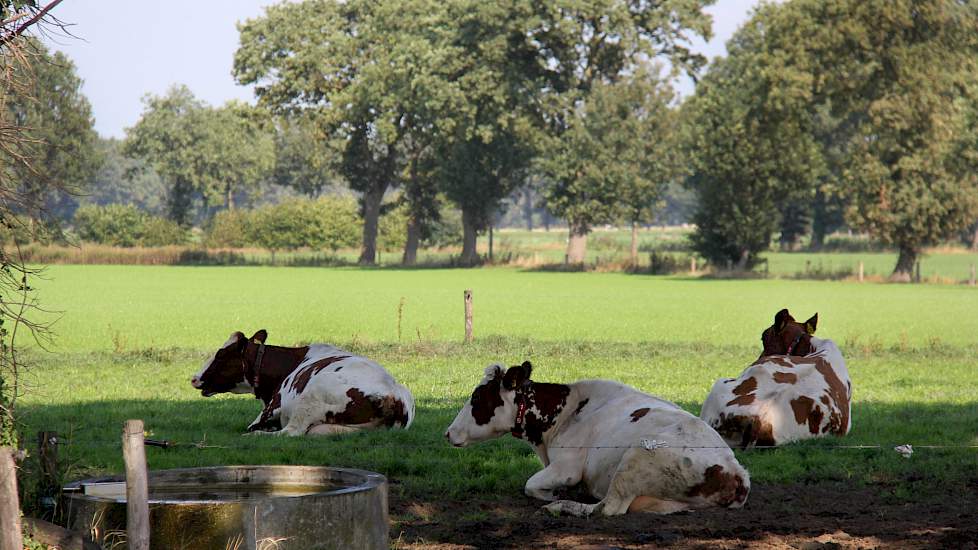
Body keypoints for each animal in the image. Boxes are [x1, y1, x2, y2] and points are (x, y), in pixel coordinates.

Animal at [192, 330, 416, 438]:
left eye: (221, 355)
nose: (194, 378)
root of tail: (393, 395)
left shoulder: (270, 409)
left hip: (313, 393)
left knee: (291, 432)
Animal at [442, 362, 748, 516]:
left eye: (477, 398)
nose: (447, 433)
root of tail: (737, 473)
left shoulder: (567, 468)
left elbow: (530, 485)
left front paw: (553, 495)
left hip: (639, 454)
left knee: (607, 508)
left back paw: (561, 507)